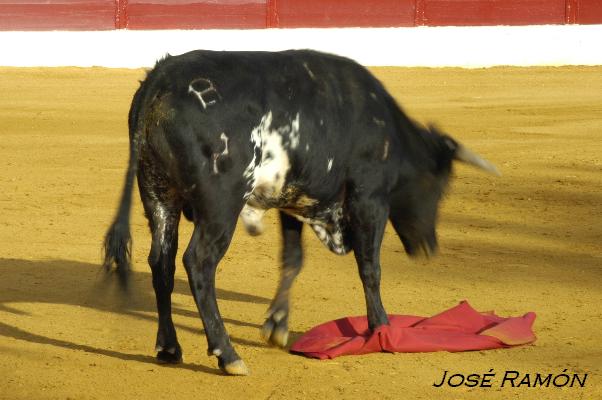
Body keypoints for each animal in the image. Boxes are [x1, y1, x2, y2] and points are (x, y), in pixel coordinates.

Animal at [104, 50, 496, 376]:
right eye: (438, 187)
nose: (430, 246)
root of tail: (162, 76)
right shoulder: (369, 199)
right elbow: (370, 267)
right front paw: (381, 328)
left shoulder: (292, 201)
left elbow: (292, 259)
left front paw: (277, 325)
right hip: (220, 205)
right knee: (198, 263)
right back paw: (227, 355)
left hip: (158, 194)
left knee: (162, 263)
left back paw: (169, 347)